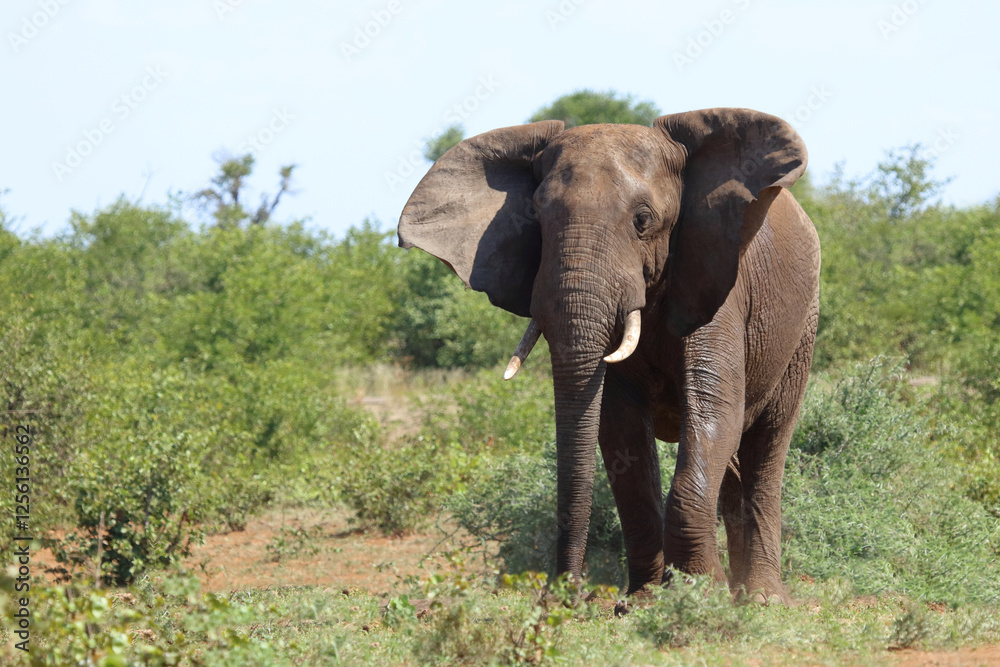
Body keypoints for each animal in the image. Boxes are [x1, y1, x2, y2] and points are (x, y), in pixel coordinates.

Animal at [397, 108, 820, 604]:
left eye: (643, 220)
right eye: (536, 218)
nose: (565, 594)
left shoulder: (716, 283)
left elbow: (715, 409)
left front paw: (701, 597)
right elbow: (619, 429)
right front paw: (643, 603)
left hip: (803, 325)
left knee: (766, 443)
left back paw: (762, 599)